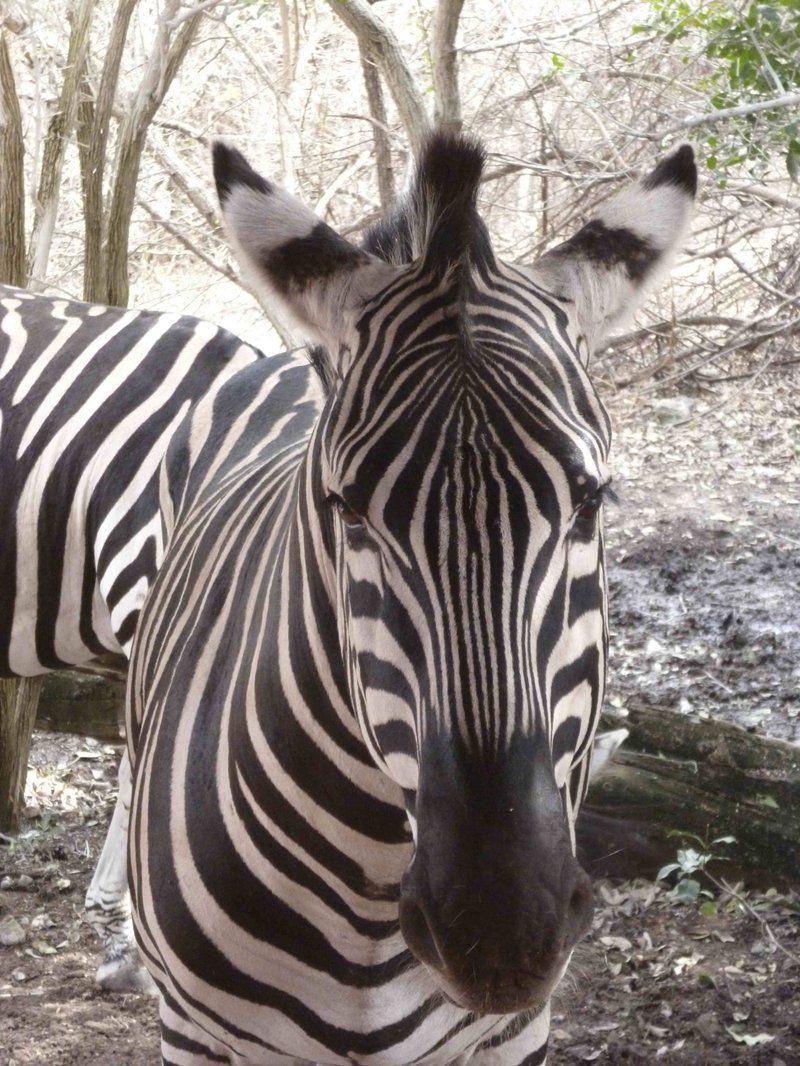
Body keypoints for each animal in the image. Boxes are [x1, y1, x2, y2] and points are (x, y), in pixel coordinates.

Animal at [128, 133, 699, 1066]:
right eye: (348, 510)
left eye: (591, 502)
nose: (501, 932)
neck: (368, 897)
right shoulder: (195, 1035)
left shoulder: (513, 1036)